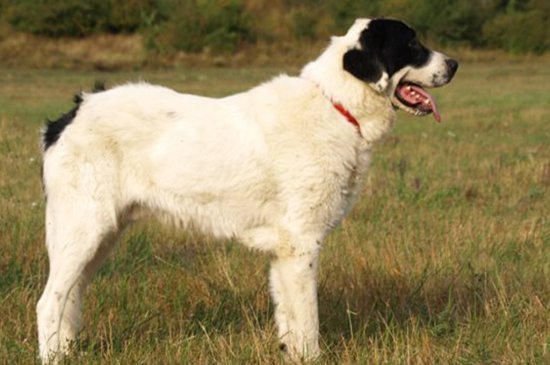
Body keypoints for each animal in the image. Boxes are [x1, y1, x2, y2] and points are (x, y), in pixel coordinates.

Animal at [38, 17, 460, 362]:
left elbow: (290, 322)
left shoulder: (285, 254)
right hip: (83, 229)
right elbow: (308, 321)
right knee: (49, 304)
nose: (455, 64)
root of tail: (72, 113)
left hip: (100, 236)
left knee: (70, 298)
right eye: (412, 44)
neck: (336, 106)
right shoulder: (302, 245)